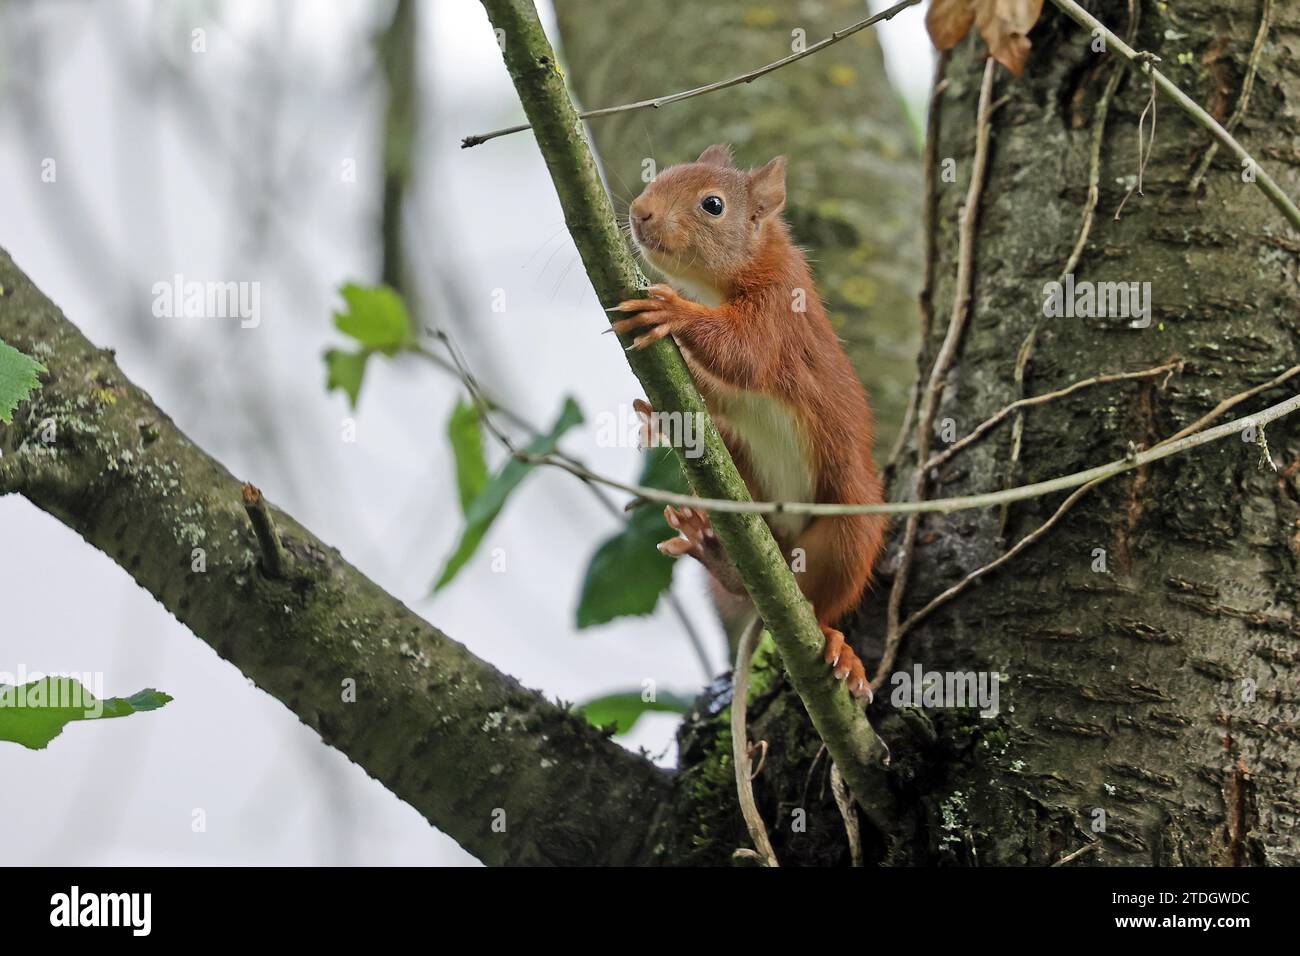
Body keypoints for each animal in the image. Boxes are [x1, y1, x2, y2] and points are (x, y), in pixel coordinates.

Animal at [613, 143, 889, 697]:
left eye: (712, 205)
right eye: (662, 175)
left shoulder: (780, 307)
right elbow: (713, 395)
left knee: (824, 601)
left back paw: (838, 646)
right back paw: (712, 549)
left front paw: (673, 312)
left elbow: (744, 355)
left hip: (848, 522)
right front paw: (655, 418)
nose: (639, 212)